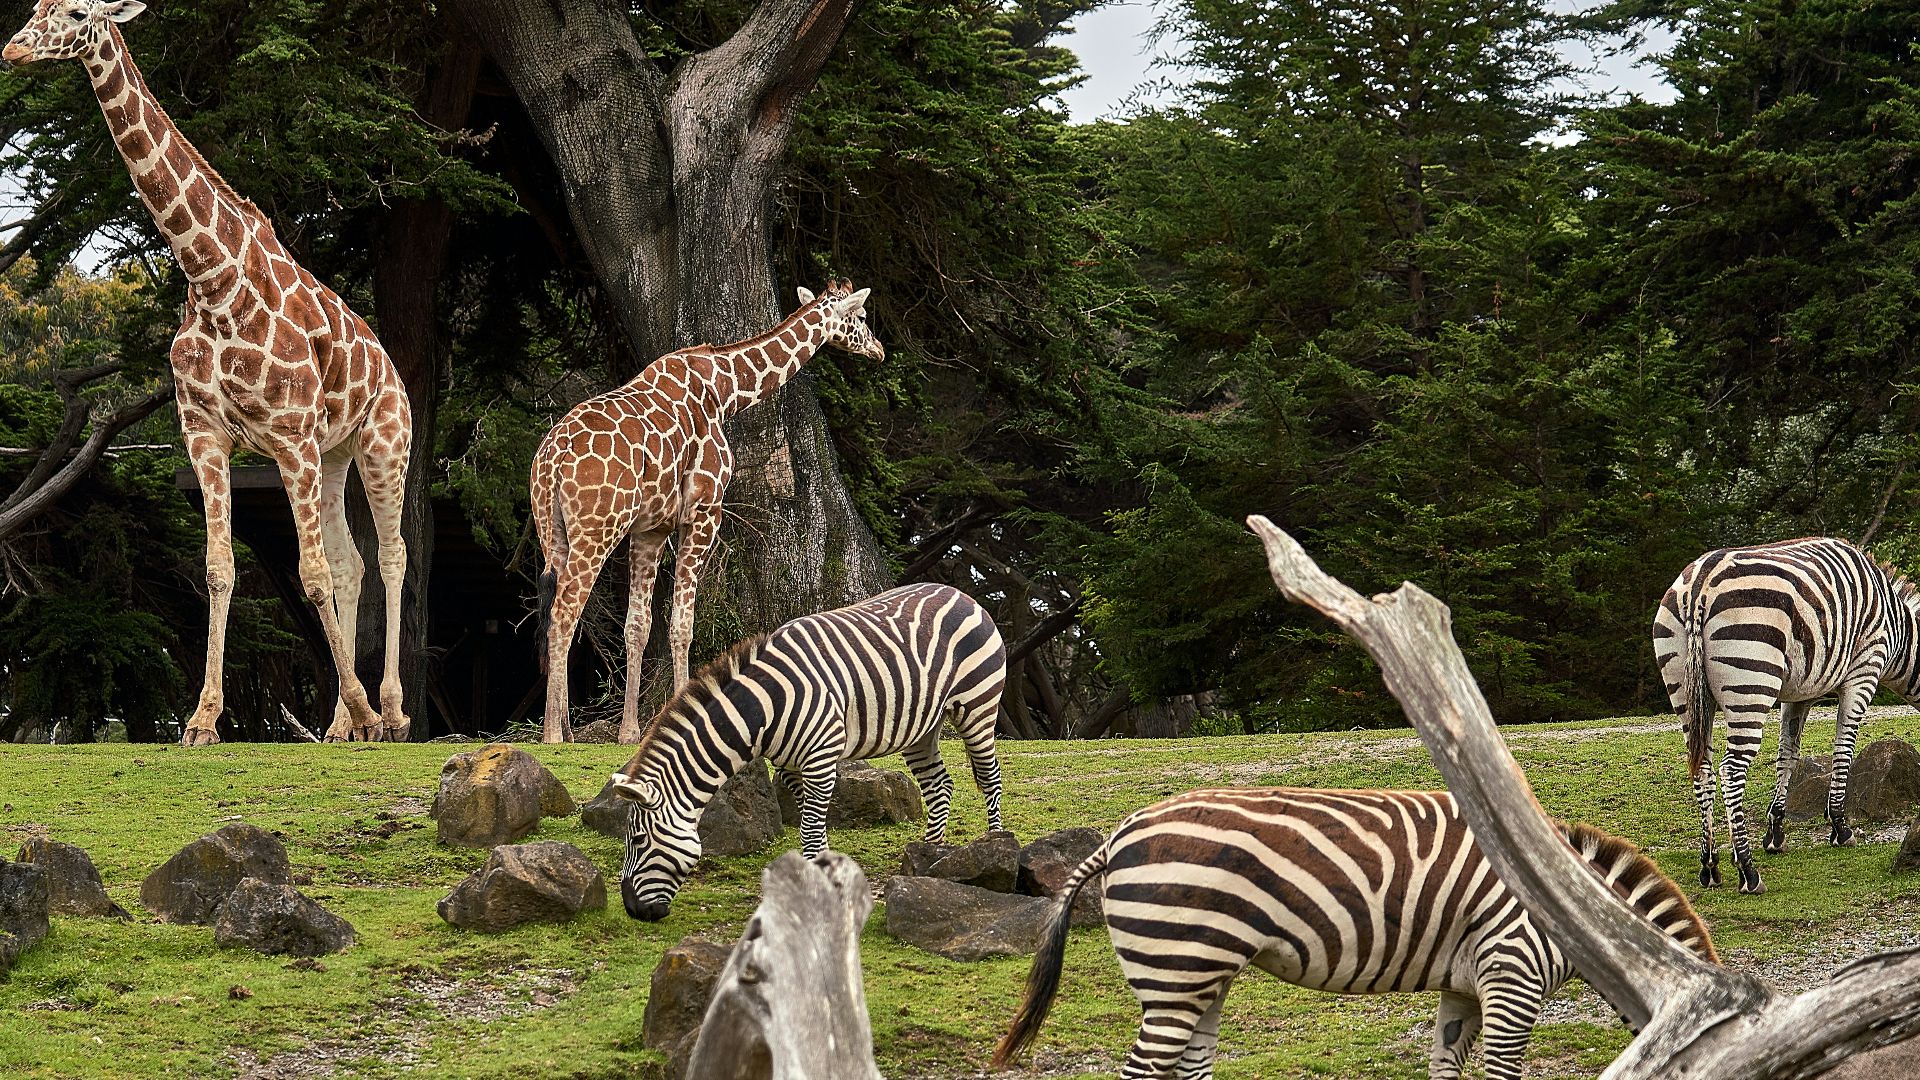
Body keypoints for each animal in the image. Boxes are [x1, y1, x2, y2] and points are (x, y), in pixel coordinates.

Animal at [3, 1, 413, 745]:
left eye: (75, 12)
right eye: (34, 8)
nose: (14, 51)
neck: (212, 277)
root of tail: (391, 368)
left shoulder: (288, 435)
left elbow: (309, 573)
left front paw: (369, 710)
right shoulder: (206, 434)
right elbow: (223, 569)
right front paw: (201, 720)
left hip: (381, 443)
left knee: (392, 554)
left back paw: (391, 712)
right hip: (334, 452)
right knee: (354, 562)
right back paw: (341, 723)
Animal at [532, 281, 884, 744]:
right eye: (860, 316)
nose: (879, 349)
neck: (725, 391)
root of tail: (551, 460)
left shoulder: (651, 529)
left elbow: (638, 626)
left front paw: (630, 731)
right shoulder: (703, 512)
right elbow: (683, 624)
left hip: (552, 529)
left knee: (556, 610)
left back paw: (566, 729)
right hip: (597, 529)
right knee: (564, 612)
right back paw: (552, 734)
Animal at [604, 581, 1007, 920]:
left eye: (637, 840)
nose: (633, 911)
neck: (764, 708)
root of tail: (958, 592)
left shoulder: (820, 759)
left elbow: (811, 832)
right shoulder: (789, 767)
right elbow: (811, 825)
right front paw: (822, 876)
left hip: (978, 705)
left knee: (989, 777)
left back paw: (993, 848)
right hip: (921, 726)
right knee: (939, 785)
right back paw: (928, 858)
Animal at [992, 787, 1716, 1080]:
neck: (1580, 915)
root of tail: (1117, 835)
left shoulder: (1467, 984)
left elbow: (1446, 1065)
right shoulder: (1513, 972)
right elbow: (1503, 1070)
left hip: (1201, 977)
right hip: (1176, 968)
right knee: (1144, 1069)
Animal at [1652, 536, 1920, 894]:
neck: (1900, 630)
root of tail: (1699, 586)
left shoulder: (1799, 693)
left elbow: (1787, 755)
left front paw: (1775, 833)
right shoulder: (1864, 672)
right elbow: (1843, 752)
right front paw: (1840, 828)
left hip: (1684, 690)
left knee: (1703, 770)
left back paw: (1710, 866)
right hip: (1751, 681)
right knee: (1731, 771)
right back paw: (1748, 871)